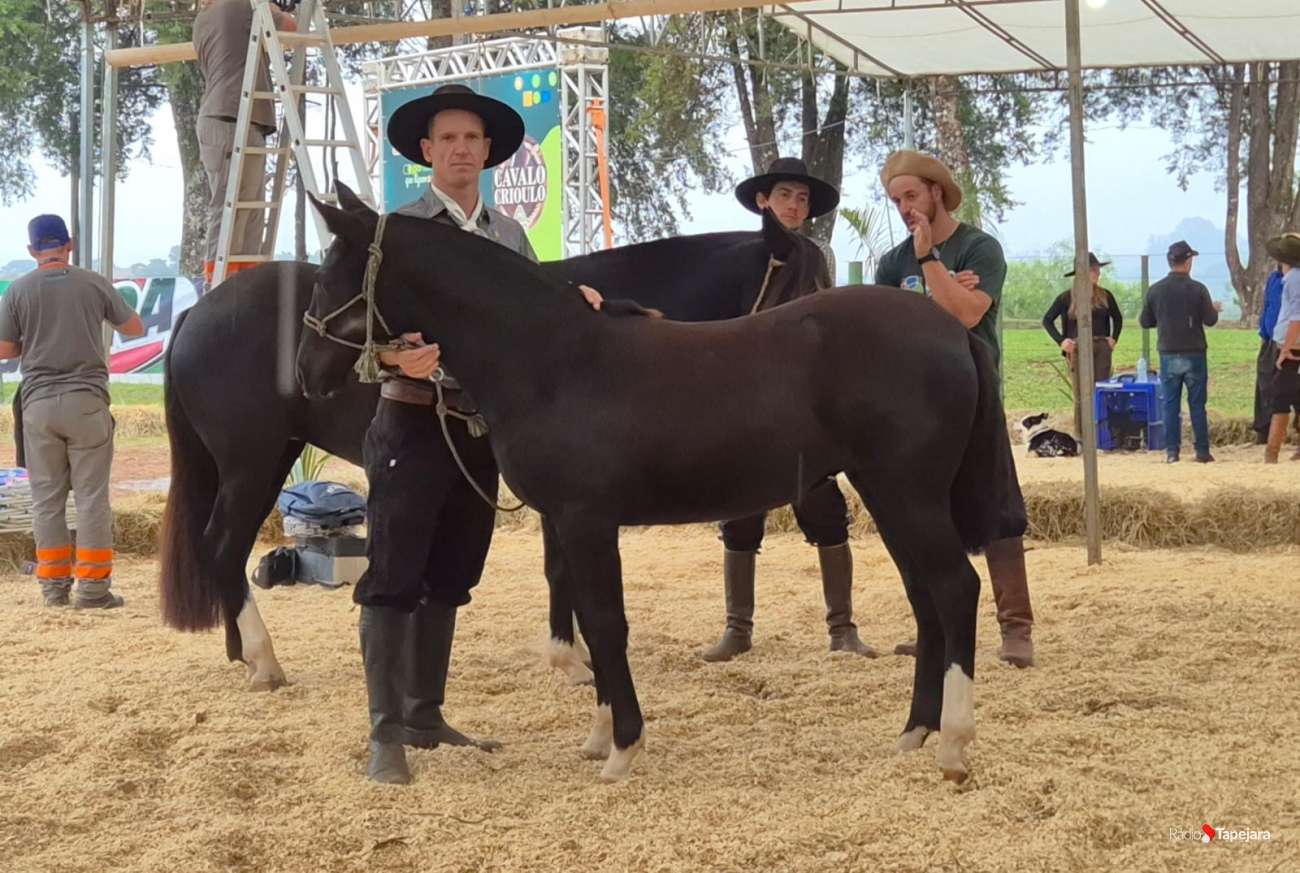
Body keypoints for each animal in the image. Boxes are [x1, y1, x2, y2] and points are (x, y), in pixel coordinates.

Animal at [156, 189, 825, 692]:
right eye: (805, 289)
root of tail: (197, 312)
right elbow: (561, 569)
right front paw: (572, 660)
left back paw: (239, 650)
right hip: (251, 462)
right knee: (222, 544)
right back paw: (263, 658)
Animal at [292, 194, 1019, 784]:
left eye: (328, 277)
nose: (304, 373)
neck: (551, 360)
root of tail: (951, 329)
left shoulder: (587, 519)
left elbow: (606, 623)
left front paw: (622, 748)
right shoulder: (566, 521)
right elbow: (584, 618)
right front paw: (599, 733)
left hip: (908, 493)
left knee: (956, 588)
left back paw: (953, 746)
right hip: (889, 494)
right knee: (927, 600)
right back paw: (914, 731)